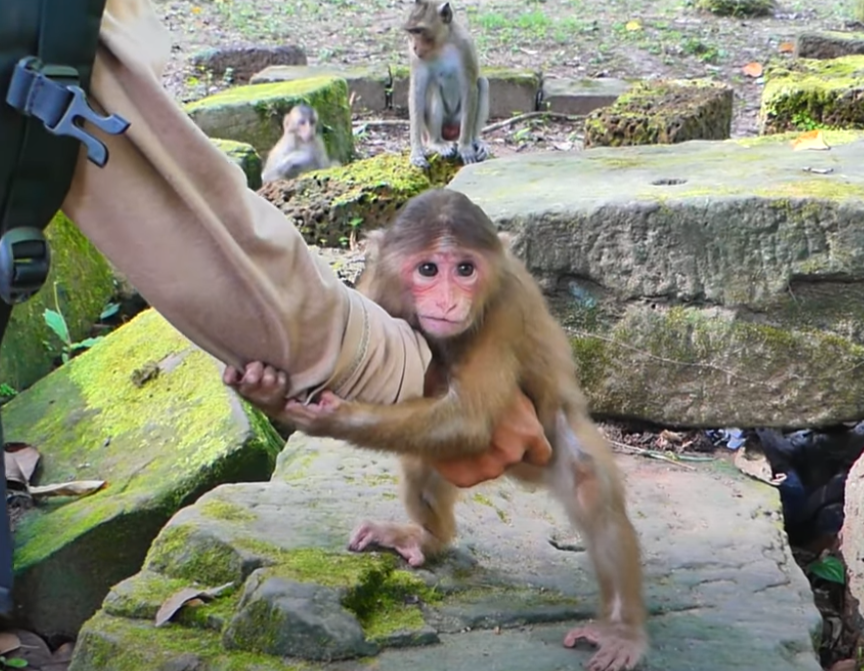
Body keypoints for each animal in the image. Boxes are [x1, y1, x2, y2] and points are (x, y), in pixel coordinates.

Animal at [232, 189, 648, 671]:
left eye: (465, 270)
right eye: (428, 269)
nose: (448, 301)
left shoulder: (503, 307)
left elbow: (470, 418)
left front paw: (326, 416)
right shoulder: (377, 290)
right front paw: (267, 388)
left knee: (588, 484)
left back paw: (621, 630)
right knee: (421, 460)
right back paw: (429, 538)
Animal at [404, 1, 491, 170]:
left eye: (419, 30)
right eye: (411, 32)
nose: (415, 47)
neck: (441, 45)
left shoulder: (465, 46)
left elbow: (470, 88)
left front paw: (465, 147)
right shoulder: (415, 57)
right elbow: (417, 92)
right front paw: (416, 152)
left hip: (458, 122)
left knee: (482, 83)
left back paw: (474, 140)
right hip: (430, 129)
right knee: (432, 88)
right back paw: (437, 143)